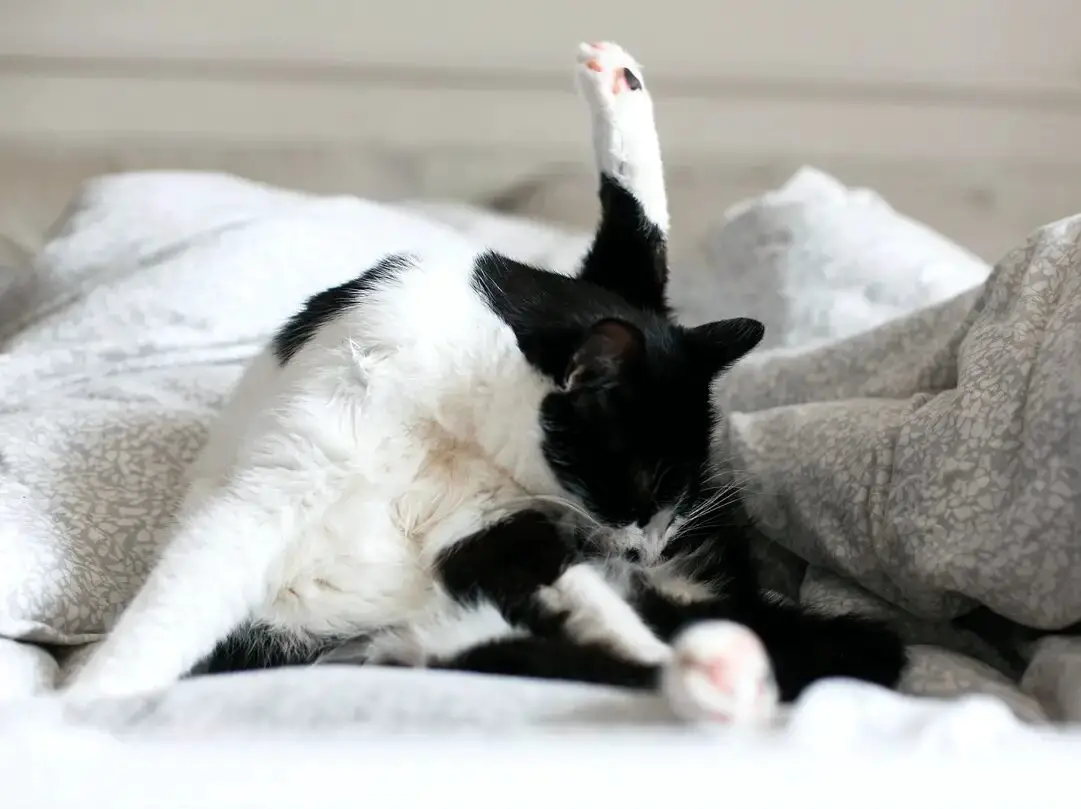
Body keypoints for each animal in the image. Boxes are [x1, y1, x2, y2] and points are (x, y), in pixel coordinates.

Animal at [59, 41, 903, 722]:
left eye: (681, 487)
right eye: (641, 479)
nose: (648, 543)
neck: (450, 413)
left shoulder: (495, 516)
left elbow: (637, 240)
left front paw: (617, 86)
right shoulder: (293, 482)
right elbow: (182, 596)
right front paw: (90, 696)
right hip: (392, 631)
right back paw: (710, 670)